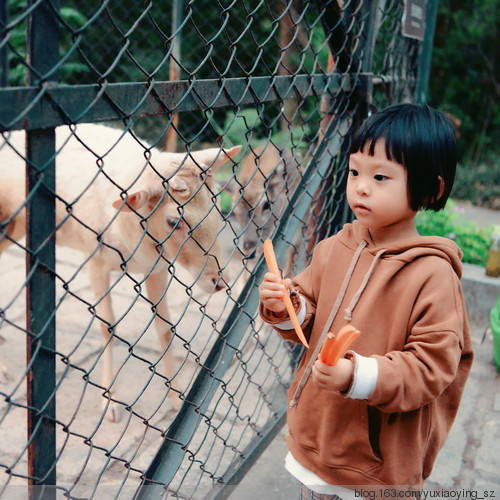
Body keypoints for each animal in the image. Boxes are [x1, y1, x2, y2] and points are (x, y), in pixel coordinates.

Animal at [0, 123, 240, 420]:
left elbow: (165, 328)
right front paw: (110, 403)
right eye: (174, 221)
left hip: (16, 227)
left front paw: (176, 397)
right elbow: (107, 327)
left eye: (217, 206)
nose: (219, 281)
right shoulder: (95, 262)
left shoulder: (157, 268)